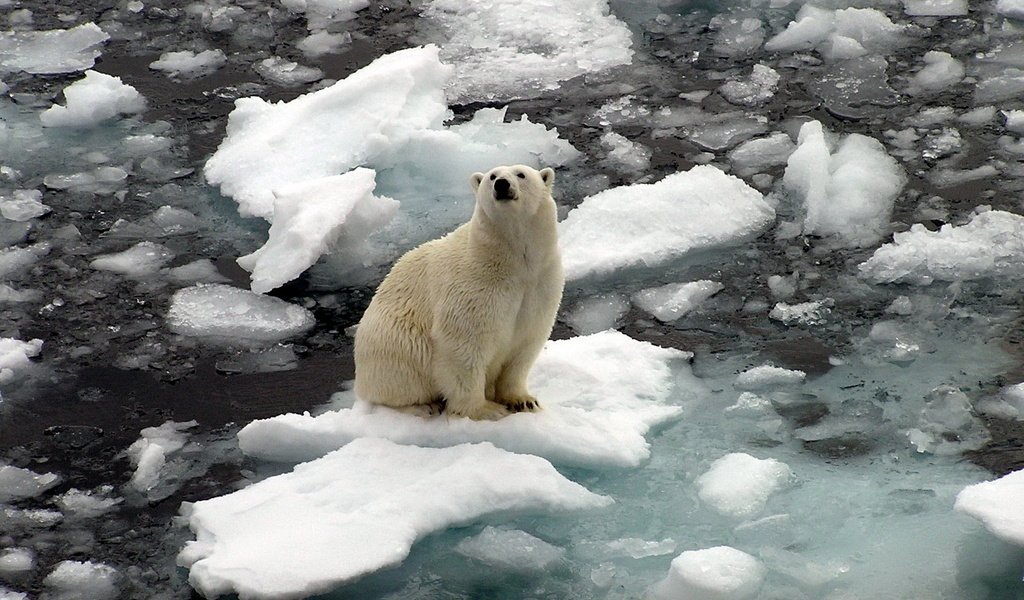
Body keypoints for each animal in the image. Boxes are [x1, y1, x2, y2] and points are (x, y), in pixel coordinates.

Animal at [350, 160, 561, 417]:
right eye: (492, 176)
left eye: (521, 174)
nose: (502, 184)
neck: (512, 264)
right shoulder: (474, 286)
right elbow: (464, 346)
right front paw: (486, 410)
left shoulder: (539, 284)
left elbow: (525, 344)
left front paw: (524, 400)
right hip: (391, 343)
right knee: (399, 378)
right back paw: (423, 406)